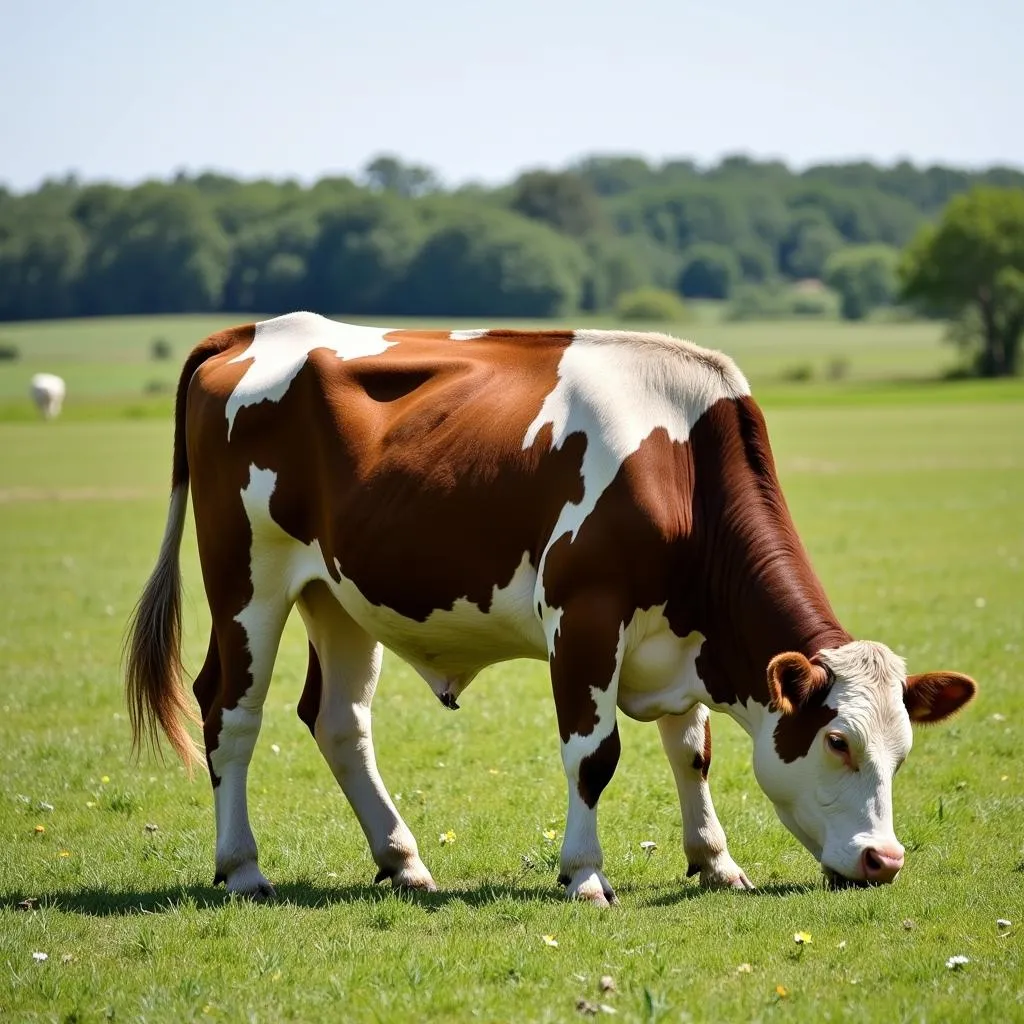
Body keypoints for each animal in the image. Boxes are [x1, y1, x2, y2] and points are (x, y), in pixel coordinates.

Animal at [121, 311, 974, 905]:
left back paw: (403, 860)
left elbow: (691, 752)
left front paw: (715, 861)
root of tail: (259, 330)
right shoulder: (583, 614)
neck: (682, 469)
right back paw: (243, 868)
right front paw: (586, 875)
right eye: (836, 741)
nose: (884, 860)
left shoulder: (683, 638)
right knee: (230, 713)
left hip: (336, 592)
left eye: (903, 752)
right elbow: (594, 754)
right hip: (247, 576)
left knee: (338, 721)